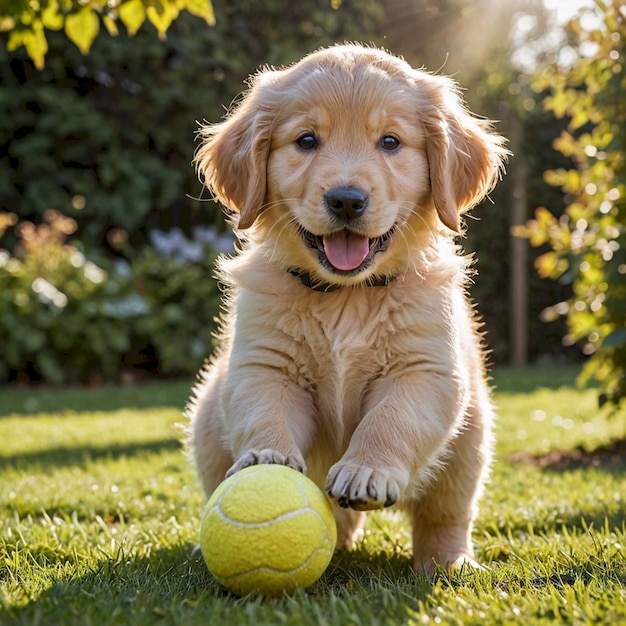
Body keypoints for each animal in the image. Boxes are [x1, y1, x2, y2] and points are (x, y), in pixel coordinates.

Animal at [186, 42, 508, 572]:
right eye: (306, 140)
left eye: (391, 142)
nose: (346, 200)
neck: (347, 296)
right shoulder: (264, 366)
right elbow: (265, 411)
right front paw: (266, 457)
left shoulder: (423, 370)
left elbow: (390, 419)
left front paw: (366, 470)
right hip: (208, 417)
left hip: (471, 442)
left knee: (445, 516)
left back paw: (449, 562)